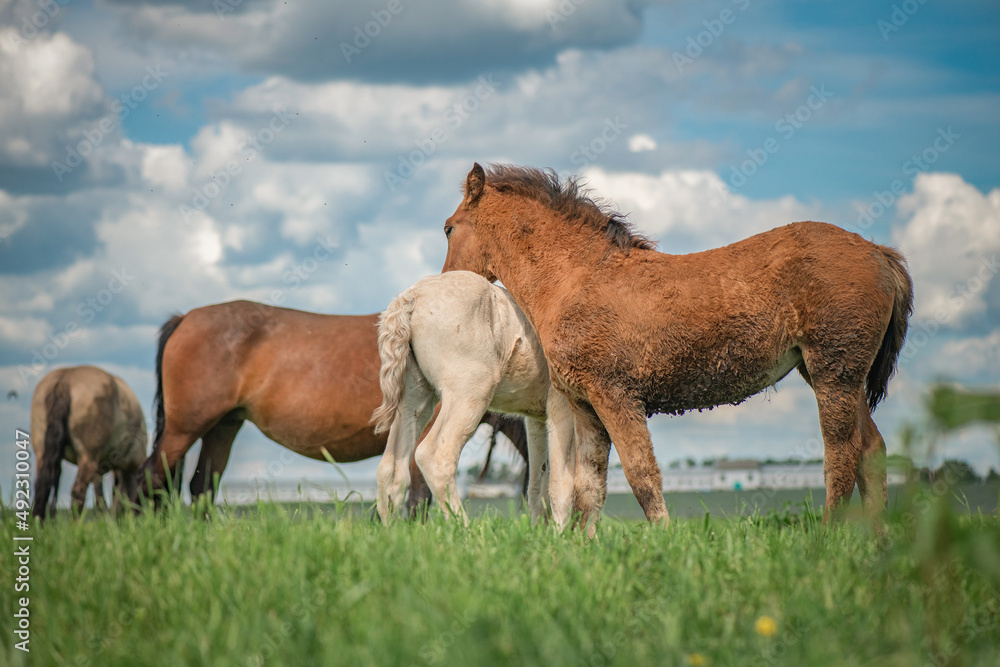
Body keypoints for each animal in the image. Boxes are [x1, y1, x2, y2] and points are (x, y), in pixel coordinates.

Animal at [31, 365, 147, 519]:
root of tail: (64, 381)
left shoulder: (100, 471)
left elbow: (101, 499)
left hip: (42, 452)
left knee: (42, 487)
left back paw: (38, 521)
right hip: (87, 456)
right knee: (78, 491)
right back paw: (75, 523)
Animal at [137, 299, 527, 509]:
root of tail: (185, 318)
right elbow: (417, 497)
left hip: (223, 427)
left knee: (201, 486)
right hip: (184, 429)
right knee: (149, 479)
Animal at [371, 271, 567, 524]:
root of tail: (410, 298)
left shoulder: (537, 418)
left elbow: (539, 484)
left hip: (414, 399)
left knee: (391, 469)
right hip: (470, 393)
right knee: (435, 456)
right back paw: (463, 528)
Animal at [440, 163, 913, 533]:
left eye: (448, 228)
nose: (445, 281)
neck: (576, 277)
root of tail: (878, 252)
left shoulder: (617, 397)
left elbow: (642, 476)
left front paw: (663, 543)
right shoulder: (587, 406)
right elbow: (589, 487)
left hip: (834, 373)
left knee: (842, 455)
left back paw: (828, 539)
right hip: (831, 376)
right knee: (872, 450)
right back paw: (877, 546)